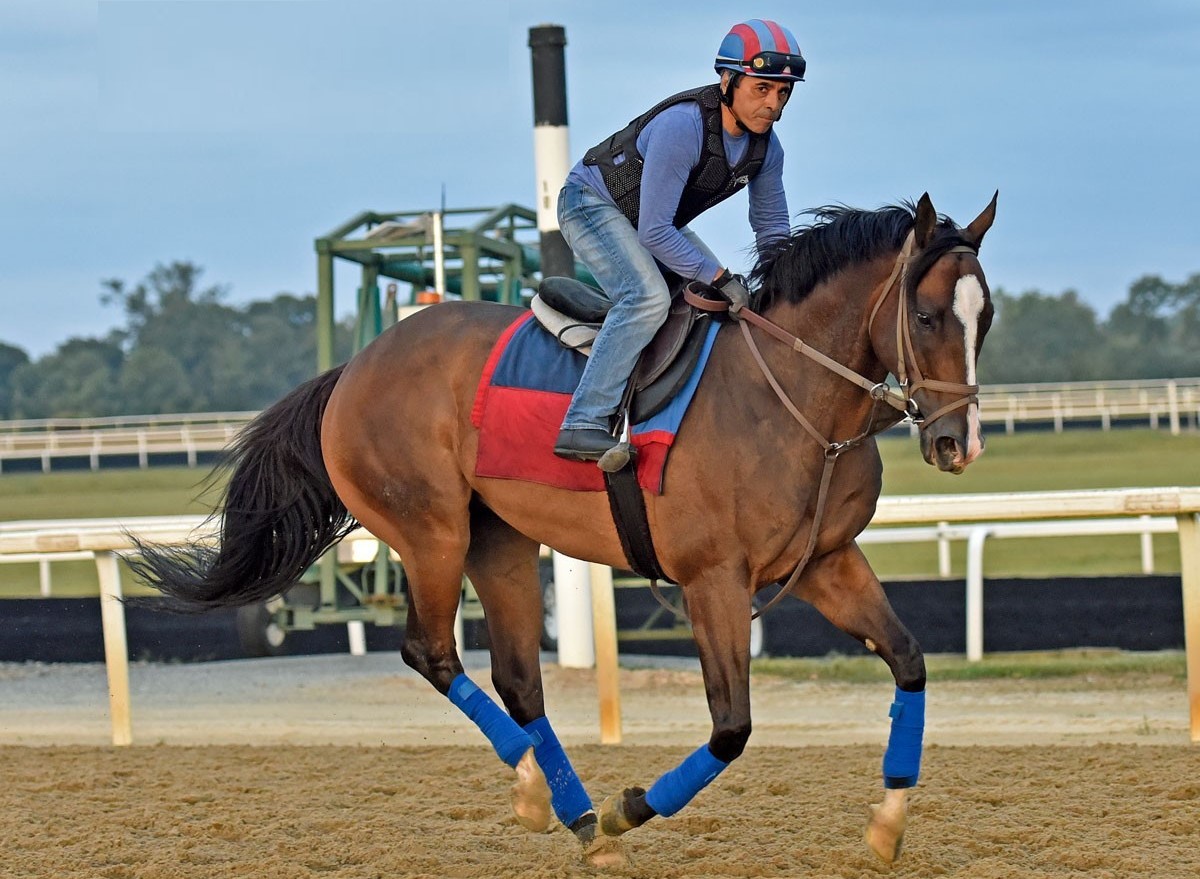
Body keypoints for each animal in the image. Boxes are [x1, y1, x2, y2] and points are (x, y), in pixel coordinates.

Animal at [129, 190, 993, 864]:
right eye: (925, 314)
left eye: (985, 319)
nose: (959, 443)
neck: (794, 400)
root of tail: (356, 367)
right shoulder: (712, 578)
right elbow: (731, 727)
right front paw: (629, 808)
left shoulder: (823, 560)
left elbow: (910, 662)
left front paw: (887, 825)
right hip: (432, 532)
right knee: (431, 651)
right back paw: (535, 790)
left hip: (501, 540)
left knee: (518, 679)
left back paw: (575, 812)